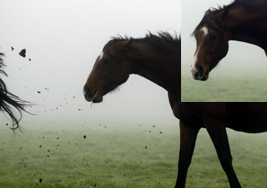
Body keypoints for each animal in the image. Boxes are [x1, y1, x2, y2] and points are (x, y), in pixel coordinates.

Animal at [83, 31, 267, 187]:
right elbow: (183, 161)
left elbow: (225, 160)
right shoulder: (187, 123)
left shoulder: (214, 123)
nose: (87, 90)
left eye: (106, 60)